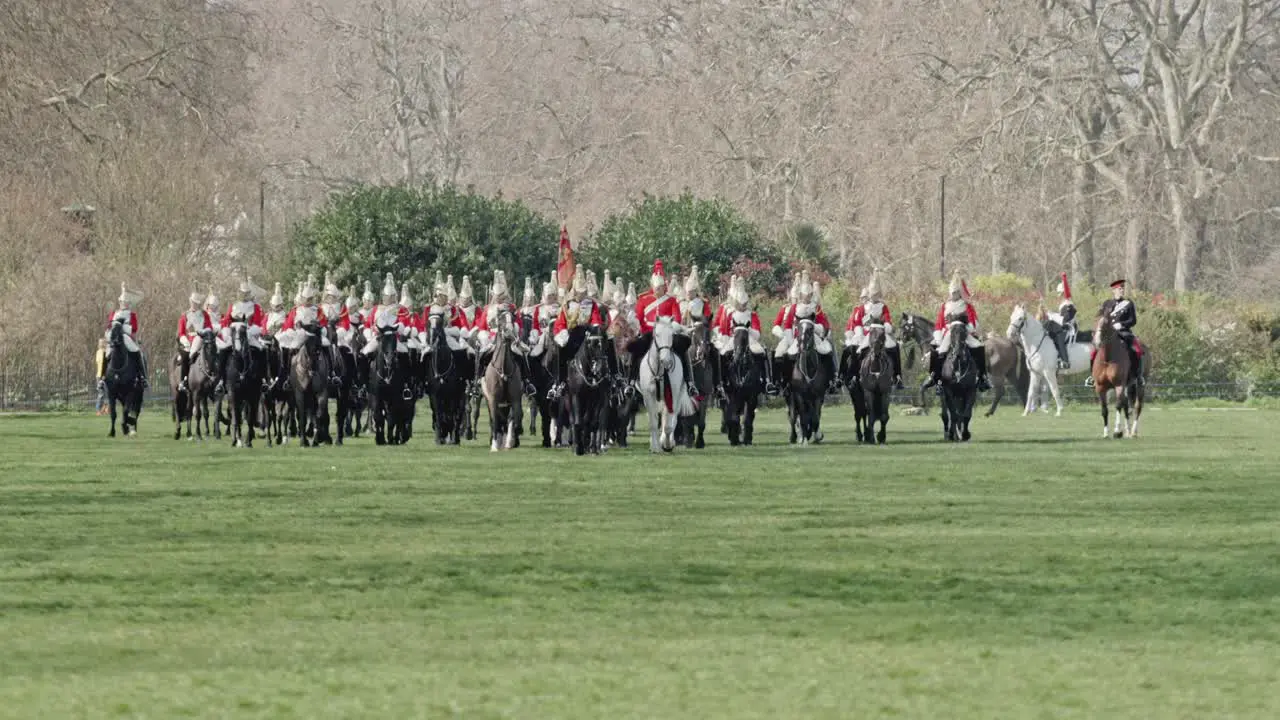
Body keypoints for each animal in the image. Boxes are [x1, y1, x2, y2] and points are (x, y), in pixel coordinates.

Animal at [640, 313, 701, 448]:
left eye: (671, 336)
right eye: (657, 334)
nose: (666, 360)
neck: (659, 371)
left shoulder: (672, 395)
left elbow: (668, 424)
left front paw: (666, 444)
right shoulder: (648, 395)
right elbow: (653, 421)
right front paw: (654, 446)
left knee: (672, 419)